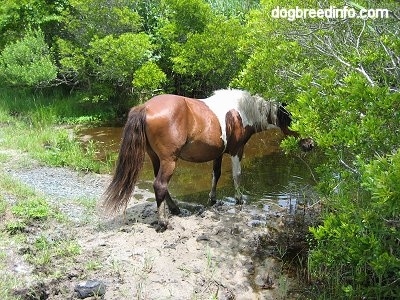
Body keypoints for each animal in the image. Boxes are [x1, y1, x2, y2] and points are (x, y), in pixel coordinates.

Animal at [103, 88, 312, 231]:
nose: (310, 144)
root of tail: (145, 107)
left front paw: (212, 199)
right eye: (294, 120)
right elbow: (237, 175)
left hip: (156, 158)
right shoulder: (237, 150)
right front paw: (239, 199)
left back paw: (175, 209)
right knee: (160, 185)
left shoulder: (218, 153)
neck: (240, 111)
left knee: (161, 185)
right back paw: (163, 222)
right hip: (169, 160)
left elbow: (216, 174)